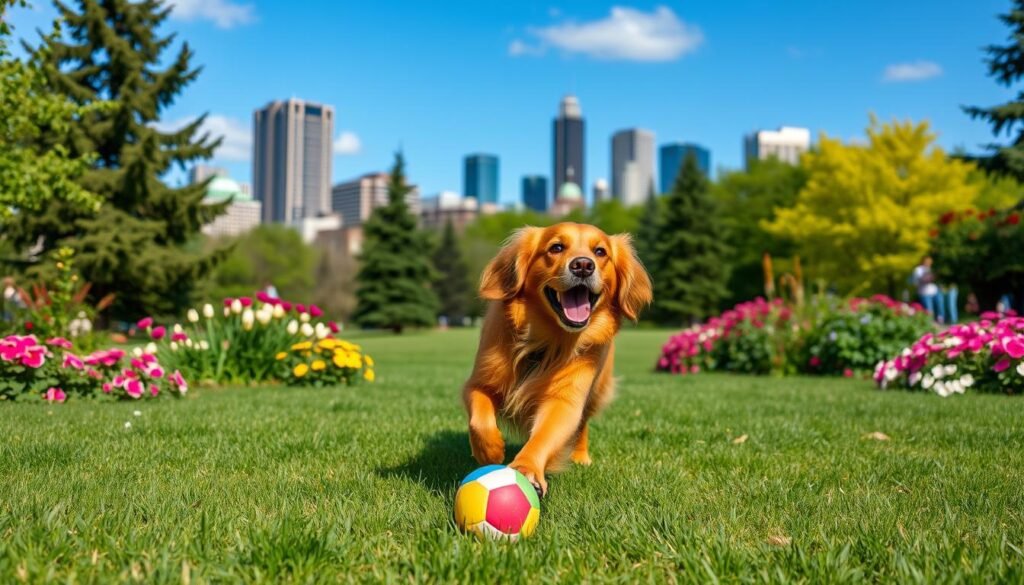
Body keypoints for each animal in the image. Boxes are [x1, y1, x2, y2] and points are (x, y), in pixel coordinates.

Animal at [462, 222, 651, 495]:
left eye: (600, 252)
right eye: (556, 247)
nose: (583, 265)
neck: (546, 343)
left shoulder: (565, 400)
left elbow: (545, 435)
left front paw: (526, 469)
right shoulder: (478, 382)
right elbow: (480, 420)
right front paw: (490, 452)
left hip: (595, 392)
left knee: (582, 425)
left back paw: (581, 457)